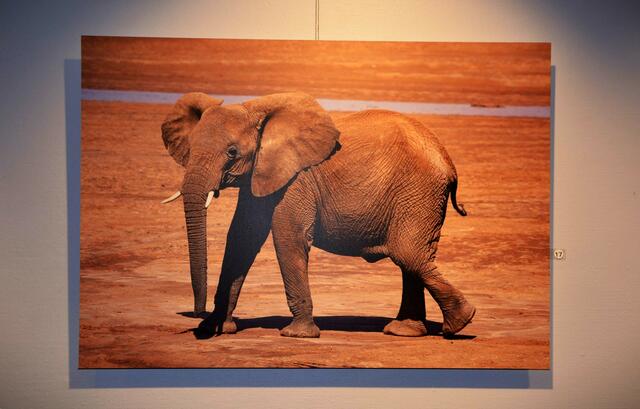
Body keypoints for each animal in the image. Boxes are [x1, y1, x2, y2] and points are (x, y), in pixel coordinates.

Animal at [160, 91, 475, 339]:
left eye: (232, 152)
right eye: (190, 148)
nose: (196, 314)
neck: (254, 108)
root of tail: (448, 160)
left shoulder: (296, 178)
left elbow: (288, 236)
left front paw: (296, 335)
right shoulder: (260, 174)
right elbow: (242, 238)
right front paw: (218, 328)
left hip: (418, 193)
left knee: (408, 254)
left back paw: (460, 322)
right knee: (410, 259)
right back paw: (406, 331)